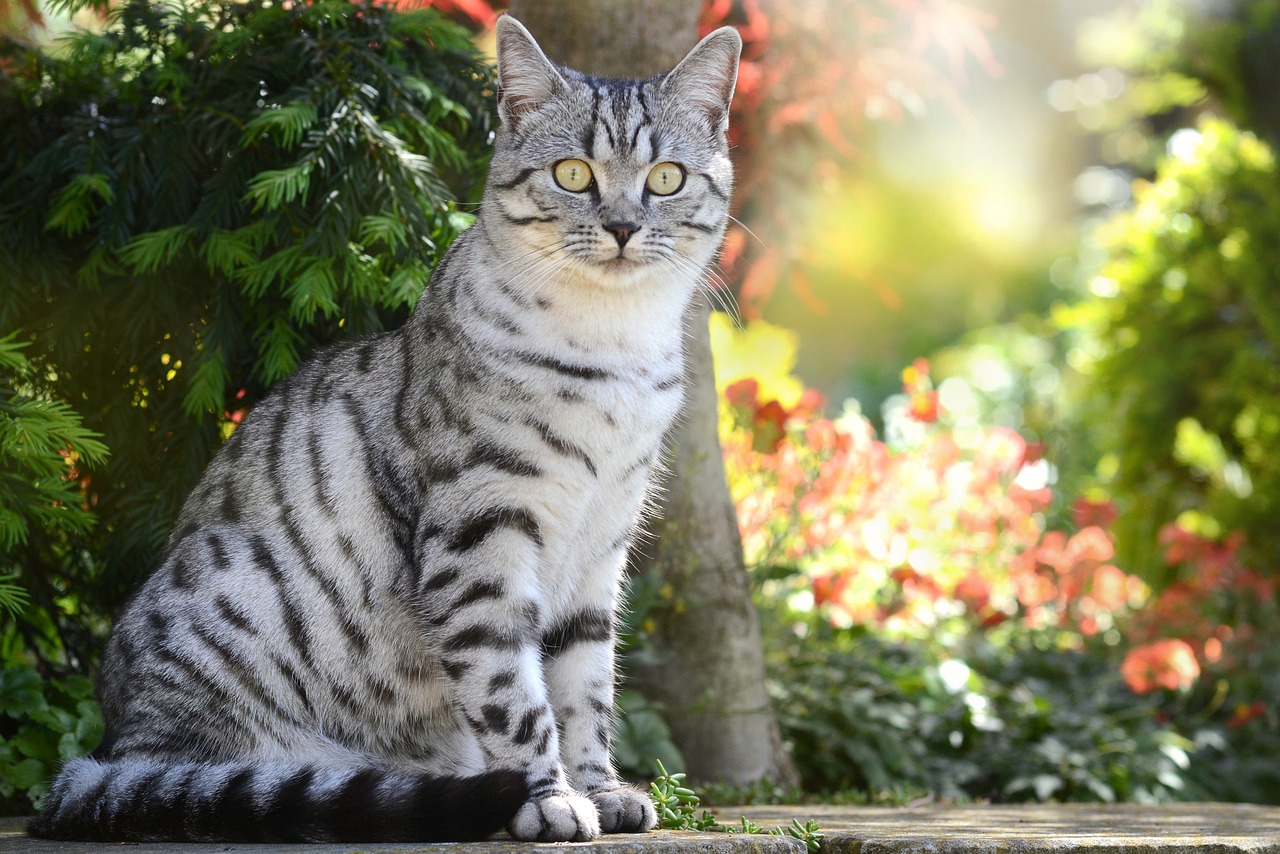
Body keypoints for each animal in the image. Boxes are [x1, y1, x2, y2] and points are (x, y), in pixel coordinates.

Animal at [30, 10, 747, 845]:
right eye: (574, 175)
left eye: (666, 178)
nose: (625, 226)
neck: (613, 350)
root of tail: (109, 756)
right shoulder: (479, 541)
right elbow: (514, 695)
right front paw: (546, 797)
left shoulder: (600, 546)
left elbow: (585, 689)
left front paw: (600, 787)